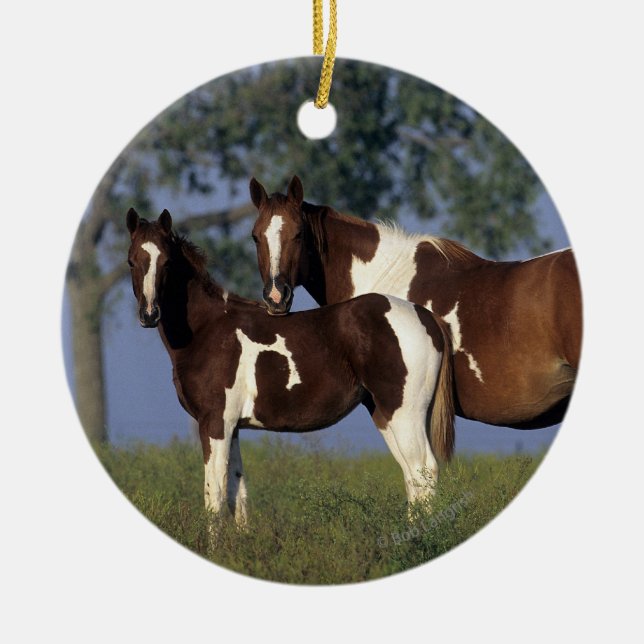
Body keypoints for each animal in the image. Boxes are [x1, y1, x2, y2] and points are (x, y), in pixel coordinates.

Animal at [126, 208, 455, 526]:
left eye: (167, 262)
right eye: (132, 261)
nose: (149, 314)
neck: (208, 328)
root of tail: (427, 317)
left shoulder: (214, 423)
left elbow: (215, 497)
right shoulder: (232, 427)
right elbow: (236, 495)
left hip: (405, 414)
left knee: (423, 470)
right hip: (386, 414)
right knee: (412, 477)